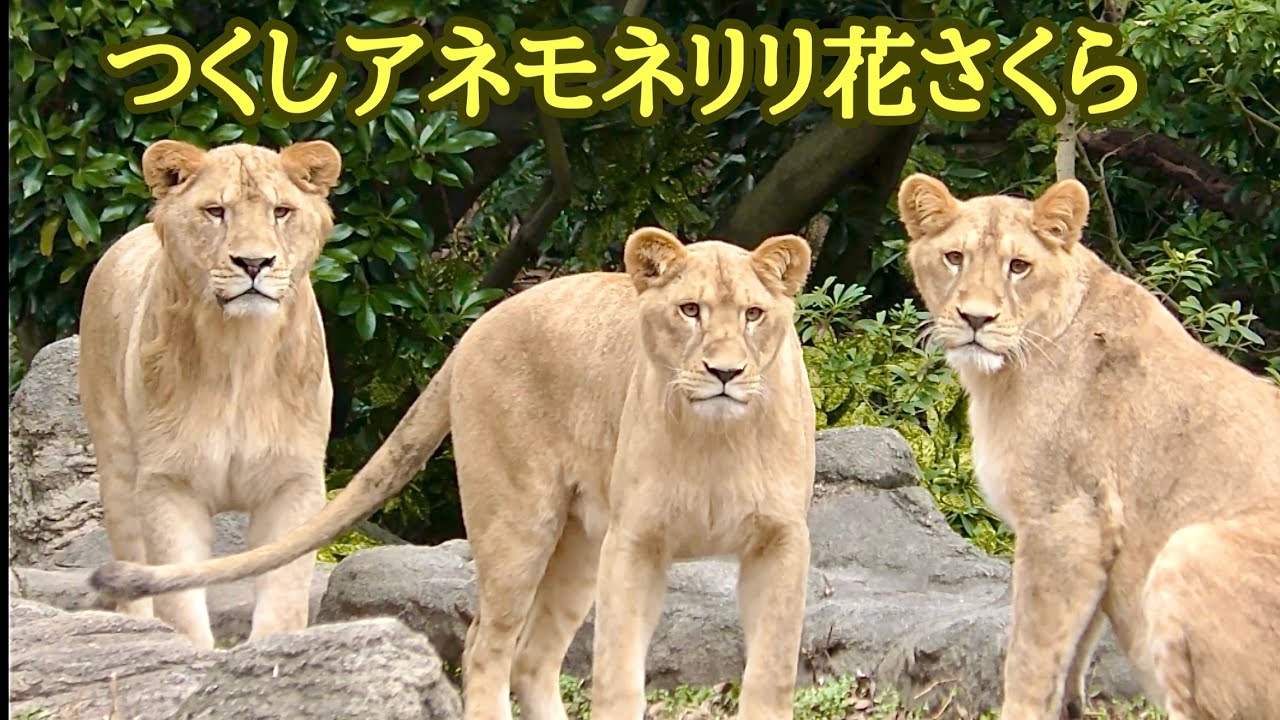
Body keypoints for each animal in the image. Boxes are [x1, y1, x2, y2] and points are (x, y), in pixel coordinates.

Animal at [78, 139, 342, 650]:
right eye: (215, 211)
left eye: (281, 211)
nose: (254, 263)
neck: (240, 350)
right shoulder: (168, 482)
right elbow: (177, 595)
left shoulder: (293, 481)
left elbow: (283, 595)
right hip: (116, 459)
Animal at [90, 227, 818, 720]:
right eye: (689, 310)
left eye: (754, 314)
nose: (724, 372)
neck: (716, 438)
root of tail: (479, 323)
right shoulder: (637, 541)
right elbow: (616, 674)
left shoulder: (780, 540)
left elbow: (773, 669)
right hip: (519, 524)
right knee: (485, 647)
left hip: (581, 541)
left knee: (532, 657)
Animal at [897, 173, 1280, 720]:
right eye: (954, 257)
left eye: (1019, 266)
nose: (976, 319)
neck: (1002, 375)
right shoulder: (1097, 536)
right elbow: (1073, 648)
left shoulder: (1064, 518)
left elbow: (1031, 652)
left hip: (1189, 546)